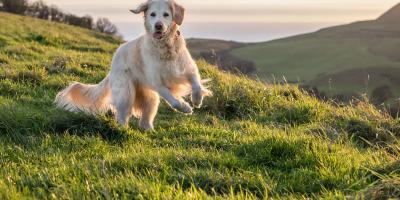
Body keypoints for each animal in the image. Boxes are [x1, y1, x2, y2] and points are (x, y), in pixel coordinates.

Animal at [56, 0, 214, 130]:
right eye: (152, 14)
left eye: (166, 15)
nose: (158, 25)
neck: (166, 47)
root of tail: (113, 62)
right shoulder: (157, 83)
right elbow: (173, 101)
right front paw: (185, 107)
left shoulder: (188, 69)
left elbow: (196, 85)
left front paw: (197, 100)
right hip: (126, 94)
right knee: (122, 115)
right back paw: (123, 130)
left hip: (151, 99)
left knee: (145, 119)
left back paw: (149, 130)